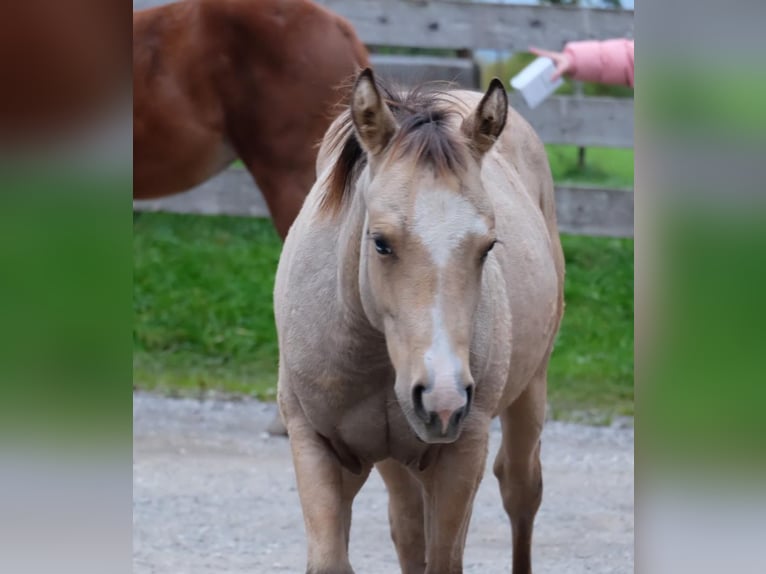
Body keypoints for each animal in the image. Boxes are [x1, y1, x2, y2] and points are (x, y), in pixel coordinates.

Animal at [274, 68, 565, 573]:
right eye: (380, 242)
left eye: (488, 246)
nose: (441, 399)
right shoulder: (314, 443)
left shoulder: (460, 453)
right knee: (407, 526)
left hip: (530, 391)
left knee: (521, 490)